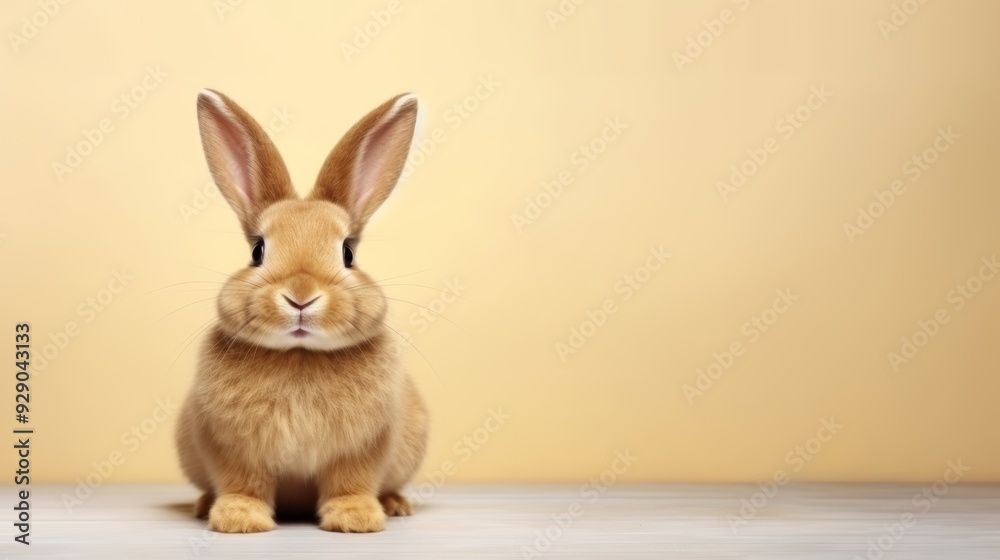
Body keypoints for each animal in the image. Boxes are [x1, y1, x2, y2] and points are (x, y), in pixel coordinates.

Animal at [175, 89, 429, 534]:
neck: (299, 355)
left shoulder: (361, 449)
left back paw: (395, 504)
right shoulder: (236, 451)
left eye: (348, 254)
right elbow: (243, 483)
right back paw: (203, 505)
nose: (300, 295)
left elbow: (350, 482)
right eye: (257, 251)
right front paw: (238, 520)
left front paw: (356, 520)